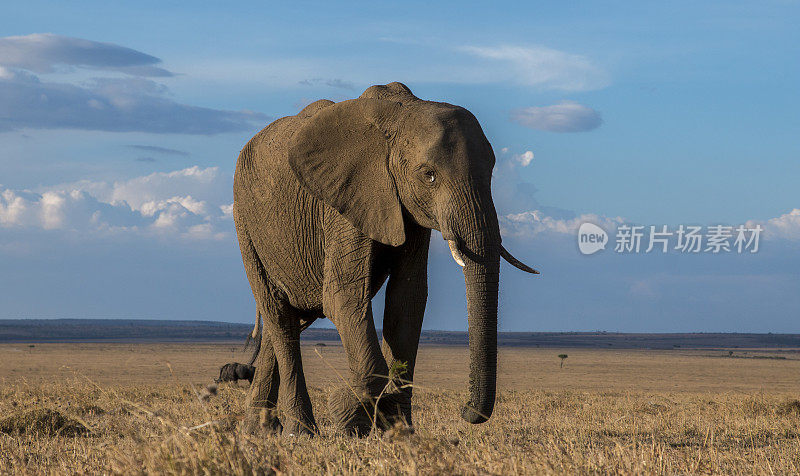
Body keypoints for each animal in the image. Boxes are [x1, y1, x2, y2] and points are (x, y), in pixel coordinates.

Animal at [233, 81, 536, 436]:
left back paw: (260, 431)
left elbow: (408, 299)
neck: (402, 114)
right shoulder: (346, 201)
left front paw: (398, 427)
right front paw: (349, 411)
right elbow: (343, 298)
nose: (466, 412)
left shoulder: (408, 210)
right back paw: (301, 432)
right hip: (246, 224)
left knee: (284, 321)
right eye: (429, 175)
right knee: (279, 316)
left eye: (490, 174)